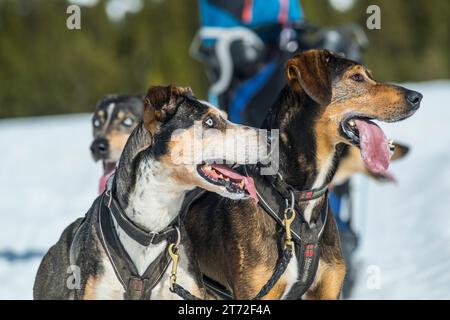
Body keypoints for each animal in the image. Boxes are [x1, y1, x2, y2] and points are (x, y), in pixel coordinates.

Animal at [184, 48, 422, 298]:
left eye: (370, 75)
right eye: (356, 77)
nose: (417, 97)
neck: (297, 195)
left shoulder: (329, 287)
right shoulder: (258, 291)